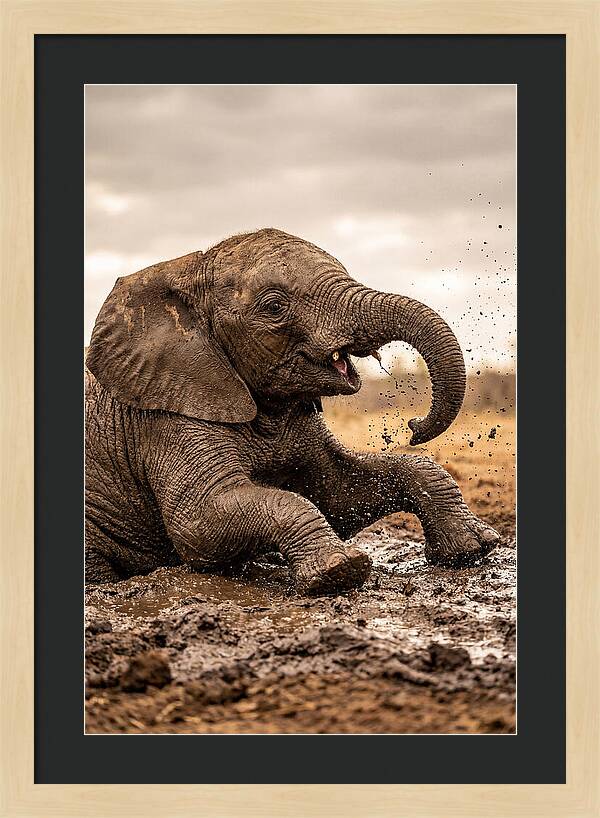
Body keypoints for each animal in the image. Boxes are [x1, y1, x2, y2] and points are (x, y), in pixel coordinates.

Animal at [85, 228, 500, 594]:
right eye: (274, 307)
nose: (413, 426)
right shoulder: (167, 417)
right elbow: (199, 524)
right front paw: (339, 570)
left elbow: (338, 492)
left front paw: (474, 548)